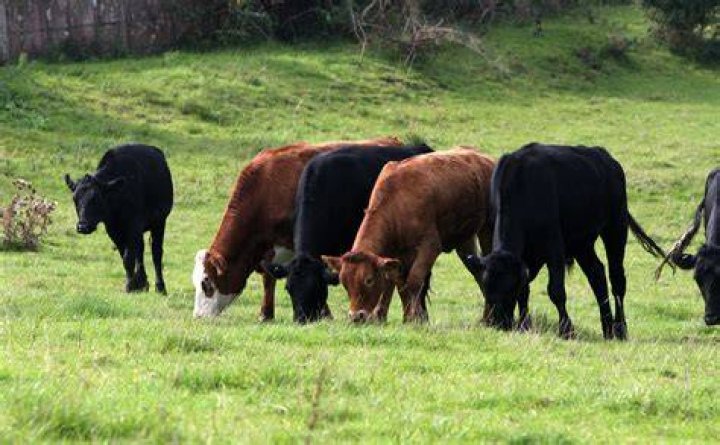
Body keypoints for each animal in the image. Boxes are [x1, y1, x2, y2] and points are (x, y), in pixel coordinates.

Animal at [64, 144, 173, 293]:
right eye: (75, 199)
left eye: (96, 199)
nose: (82, 227)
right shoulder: (113, 230)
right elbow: (125, 256)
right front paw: (134, 284)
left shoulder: (133, 226)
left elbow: (128, 257)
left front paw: (129, 286)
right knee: (140, 249)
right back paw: (142, 282)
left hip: (159, 221)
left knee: (156, 251)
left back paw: (160, 287)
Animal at [323, 147, 495, 323]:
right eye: (344, 282)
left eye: (369, 280)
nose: (356, 316)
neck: (397, 201)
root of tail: (486, 160)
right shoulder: (396, 256)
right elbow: (399, 285)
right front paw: (406, 318)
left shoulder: (430, 246)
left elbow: (413, 281)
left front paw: (415, 318)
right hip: (464, 239)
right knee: (478, 271)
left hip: (488, 228)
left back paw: (490, 318)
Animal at [464, 143, 667, 340]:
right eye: (486, 288)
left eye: (509, 289)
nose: (498, 323)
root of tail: (606, 158)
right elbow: (525, 291)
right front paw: (524, 325)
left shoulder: (554, 247)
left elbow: (555, 290)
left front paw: (566, 330)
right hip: (582, 243)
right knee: (597, 274)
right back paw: (607, 328)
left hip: (615, 226)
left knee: (617, 278)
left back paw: (620, 329)